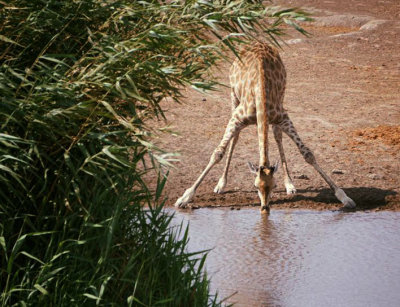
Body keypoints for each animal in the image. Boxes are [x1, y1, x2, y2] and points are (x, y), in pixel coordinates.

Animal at [175, 42, 356, 213]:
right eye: (255, 186)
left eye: (274, 186)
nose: (265, 207)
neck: (260, 96)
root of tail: (255, 42)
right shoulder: (236, 118)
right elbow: (217, 153)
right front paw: (184, 198)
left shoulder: (283, 117)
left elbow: (307, 154)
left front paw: (345, 198)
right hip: (233, 95)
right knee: (236, 137)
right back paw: (221, 184)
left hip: (282, 94)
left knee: (277, 136)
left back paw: (290, 184)